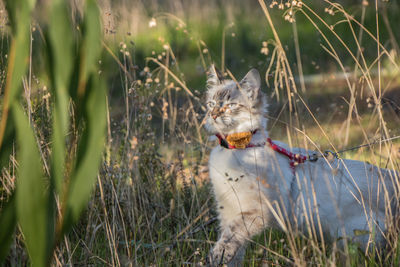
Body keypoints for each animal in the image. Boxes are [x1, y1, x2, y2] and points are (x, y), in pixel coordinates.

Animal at [205, 66, 398, 266]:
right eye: (211, 104)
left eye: (230, 106)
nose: (213, 115)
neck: (234, 150)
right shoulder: (227, 210)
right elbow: (235, 248)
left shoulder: (256, 211)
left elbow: (229, 237)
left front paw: (216, 255)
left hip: (357, 238)